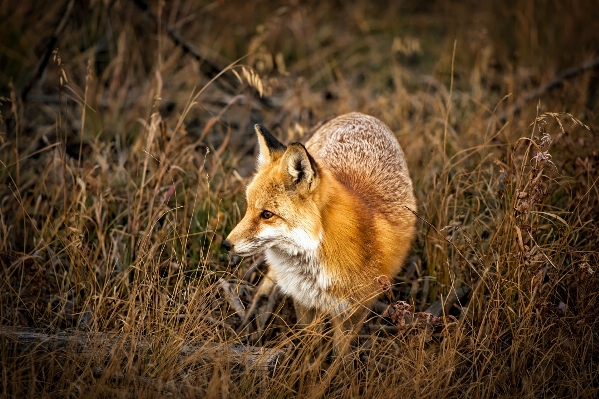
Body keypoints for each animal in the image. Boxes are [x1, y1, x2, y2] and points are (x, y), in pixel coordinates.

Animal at [225, 112, 418, 350]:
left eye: (267, 214)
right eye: (248, 207)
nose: (226, 244)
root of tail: (359, 115)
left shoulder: (354, 309)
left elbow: (340, 355)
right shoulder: (304, 300)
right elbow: (309, 343)